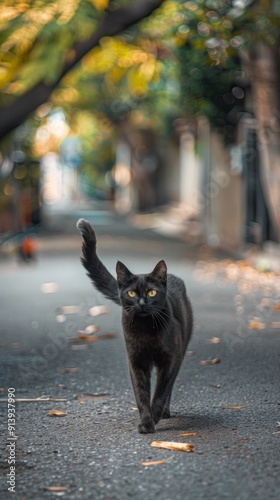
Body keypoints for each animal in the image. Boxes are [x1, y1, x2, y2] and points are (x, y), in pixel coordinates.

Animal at [76, 219, 192, 434]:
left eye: (152, 292)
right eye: (131, 293)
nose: (141, 302)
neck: (146, 329)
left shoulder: (170, 359)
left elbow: (161, 390)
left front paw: (155, 415)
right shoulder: (136, 361)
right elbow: (141, 393)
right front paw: (146, 422)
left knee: (170, 386)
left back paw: (164, 412)